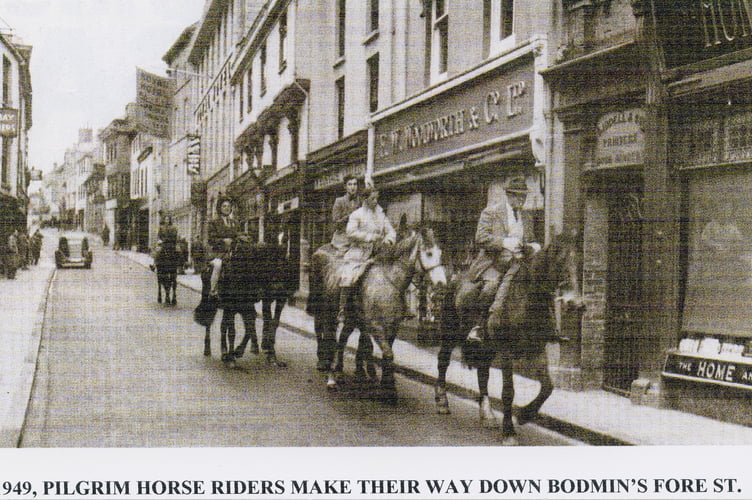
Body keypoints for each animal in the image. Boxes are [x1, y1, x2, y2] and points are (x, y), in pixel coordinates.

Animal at [306, 227, 446, 402]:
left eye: (440, 253)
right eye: (429, 254)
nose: (442, 284)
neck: (389, 283)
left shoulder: (392, 327)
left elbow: (386, 354)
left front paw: (384, 384)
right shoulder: (375, 326)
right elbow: (384, 352)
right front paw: (388, 388)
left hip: (351, 319)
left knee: (342, 339)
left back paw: (339, 371)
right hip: (327, 313)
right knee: (328, 337)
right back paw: (330, 376)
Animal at [434, 231, 580, 446]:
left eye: (579, 263)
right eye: (560, 260)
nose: (576, 303)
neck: (527, 298)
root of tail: (456, 276)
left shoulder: (538, 350)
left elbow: (548, 387)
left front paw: (524, 415)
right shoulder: (506, 352)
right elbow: (508, 392)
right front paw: (509, 432)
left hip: (487, 347)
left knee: (483, 372)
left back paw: (487, 414)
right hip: (450, 333)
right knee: (443, 361)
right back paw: (442, 402)